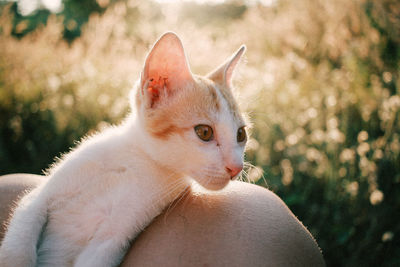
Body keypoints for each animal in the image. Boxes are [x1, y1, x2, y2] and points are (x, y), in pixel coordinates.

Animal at [0, 33, 248, 267]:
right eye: (204, 132)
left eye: (241, 135)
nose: (236, 168)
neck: (136, 160)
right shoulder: (38, 198)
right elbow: (17, 249)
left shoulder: (113, 238)